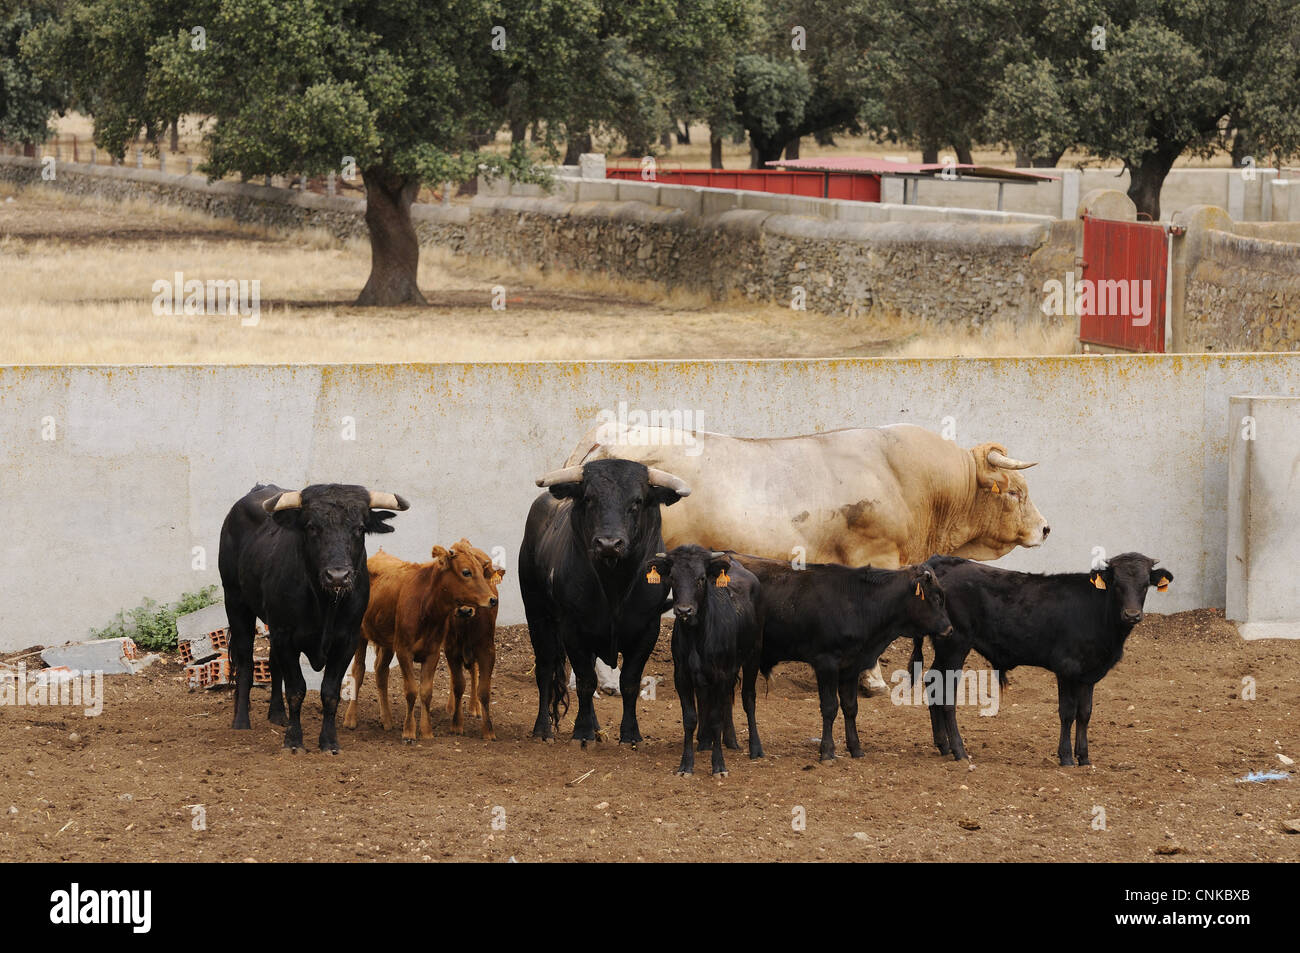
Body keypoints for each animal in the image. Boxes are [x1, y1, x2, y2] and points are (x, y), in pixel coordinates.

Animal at [345, 538, 496, 738]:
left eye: (482, 570)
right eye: (466, 572)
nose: (492, 599)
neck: (425, 605)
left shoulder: (432, 653)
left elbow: (425, 691)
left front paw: (426, 731)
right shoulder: (403, 651)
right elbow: (411, 690)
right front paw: (409, 731)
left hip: (387, 643)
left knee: (381, 672)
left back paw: (387, 720)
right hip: (360, 635)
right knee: (359, 671)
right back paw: (350, 719)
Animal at [447, 543, 506, 738]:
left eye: (481, 575)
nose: (464, 610)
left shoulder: (487, 651)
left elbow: (484, 689)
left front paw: (488, 730)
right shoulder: (451, 650)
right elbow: (458, 684)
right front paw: (456, 724)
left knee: (474, 672)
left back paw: (475, 707)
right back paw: (451, 707)